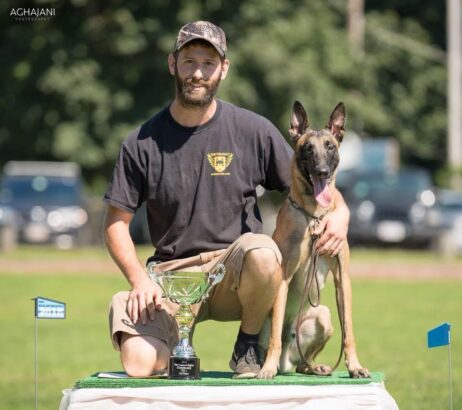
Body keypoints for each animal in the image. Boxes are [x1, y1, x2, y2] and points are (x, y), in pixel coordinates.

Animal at [260, 101, 368, 380]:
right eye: (308, 148)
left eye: (330, 146)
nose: (322, 171)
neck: (315, 217)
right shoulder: (283, 278)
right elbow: (274, 335)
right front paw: (266, 369)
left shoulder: (343, 279)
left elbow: (349, 332)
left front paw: (354, 366)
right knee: (273, 339)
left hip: (323, 316)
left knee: (303, 362)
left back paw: (313, 366)